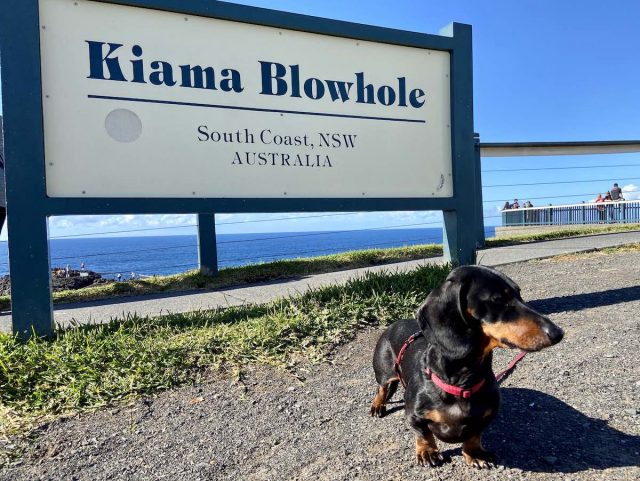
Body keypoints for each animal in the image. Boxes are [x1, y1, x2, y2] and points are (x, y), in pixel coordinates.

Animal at [372, 264, 564, 466]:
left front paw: (475, 453)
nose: (558, 333)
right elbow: (423, 434)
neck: (463, 380)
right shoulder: (414, 415)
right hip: (384, 372)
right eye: (497, 299)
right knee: (381, 388)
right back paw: (377, 406)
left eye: (519, 294)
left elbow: (474, 434)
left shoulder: (486, 416)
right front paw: (427, 451)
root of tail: (394, 324)